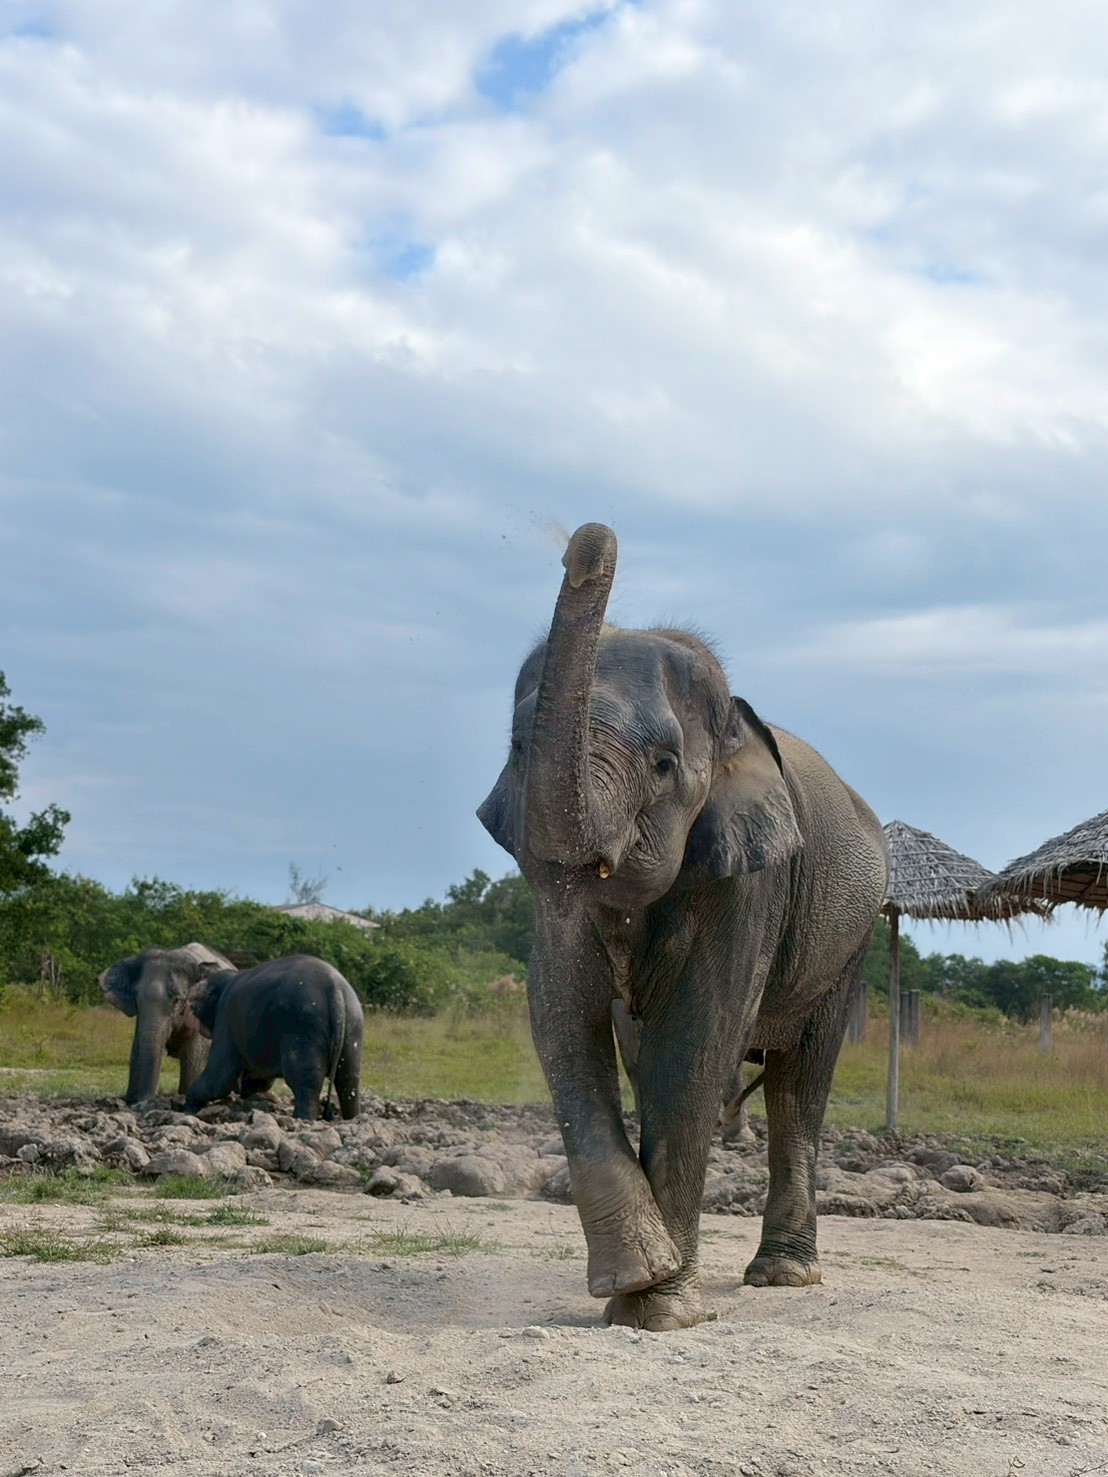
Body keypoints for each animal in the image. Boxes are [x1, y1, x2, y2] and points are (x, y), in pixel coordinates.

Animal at [100, 943, 234, 1105]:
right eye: (137, 999)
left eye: (176, 1000)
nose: (144, 1101)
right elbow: (137, 1049)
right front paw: (130, 1100)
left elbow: (192, 1056)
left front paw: (185, 1096)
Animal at [184, 955, 364, 1120]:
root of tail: (335, 989)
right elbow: (257, 1080)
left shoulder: (225, 1016)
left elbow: (220, 1077)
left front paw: (189, 1107)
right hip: (353, 1022)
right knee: (348, 1078)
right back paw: (352, 1118)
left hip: (304, 1024)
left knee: (305, 1079)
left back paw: (302, 1119)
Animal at [478, 522, 888, 1332]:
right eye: (515, 747)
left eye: (666, 764)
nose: (586, 541)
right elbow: (563, 1013)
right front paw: (635, 1283)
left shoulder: (753, 871)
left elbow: (696, 1040)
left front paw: (662, 1312)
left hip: (851, 942)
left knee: (801, 1081)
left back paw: (782, 1277)